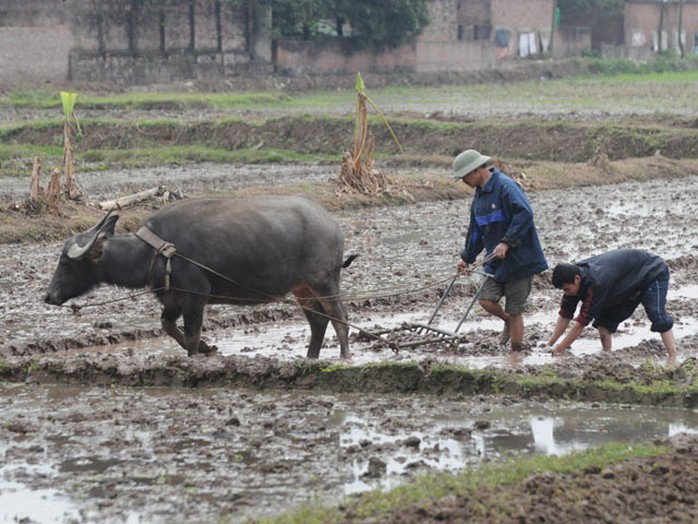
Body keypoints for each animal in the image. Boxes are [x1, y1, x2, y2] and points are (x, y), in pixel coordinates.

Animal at [44, 196, 354, 360]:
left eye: (65, 263)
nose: (48, 296)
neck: (156, 250)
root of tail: (333, 226)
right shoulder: (172, 300)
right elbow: (168, 327)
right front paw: (208, 348)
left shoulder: (196, 298)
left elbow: (192, 335)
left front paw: (196, 355)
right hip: (301, 288)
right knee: (318, 321)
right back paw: (310, 358)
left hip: (325, 282)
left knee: (340, 317)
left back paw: (345, 358)